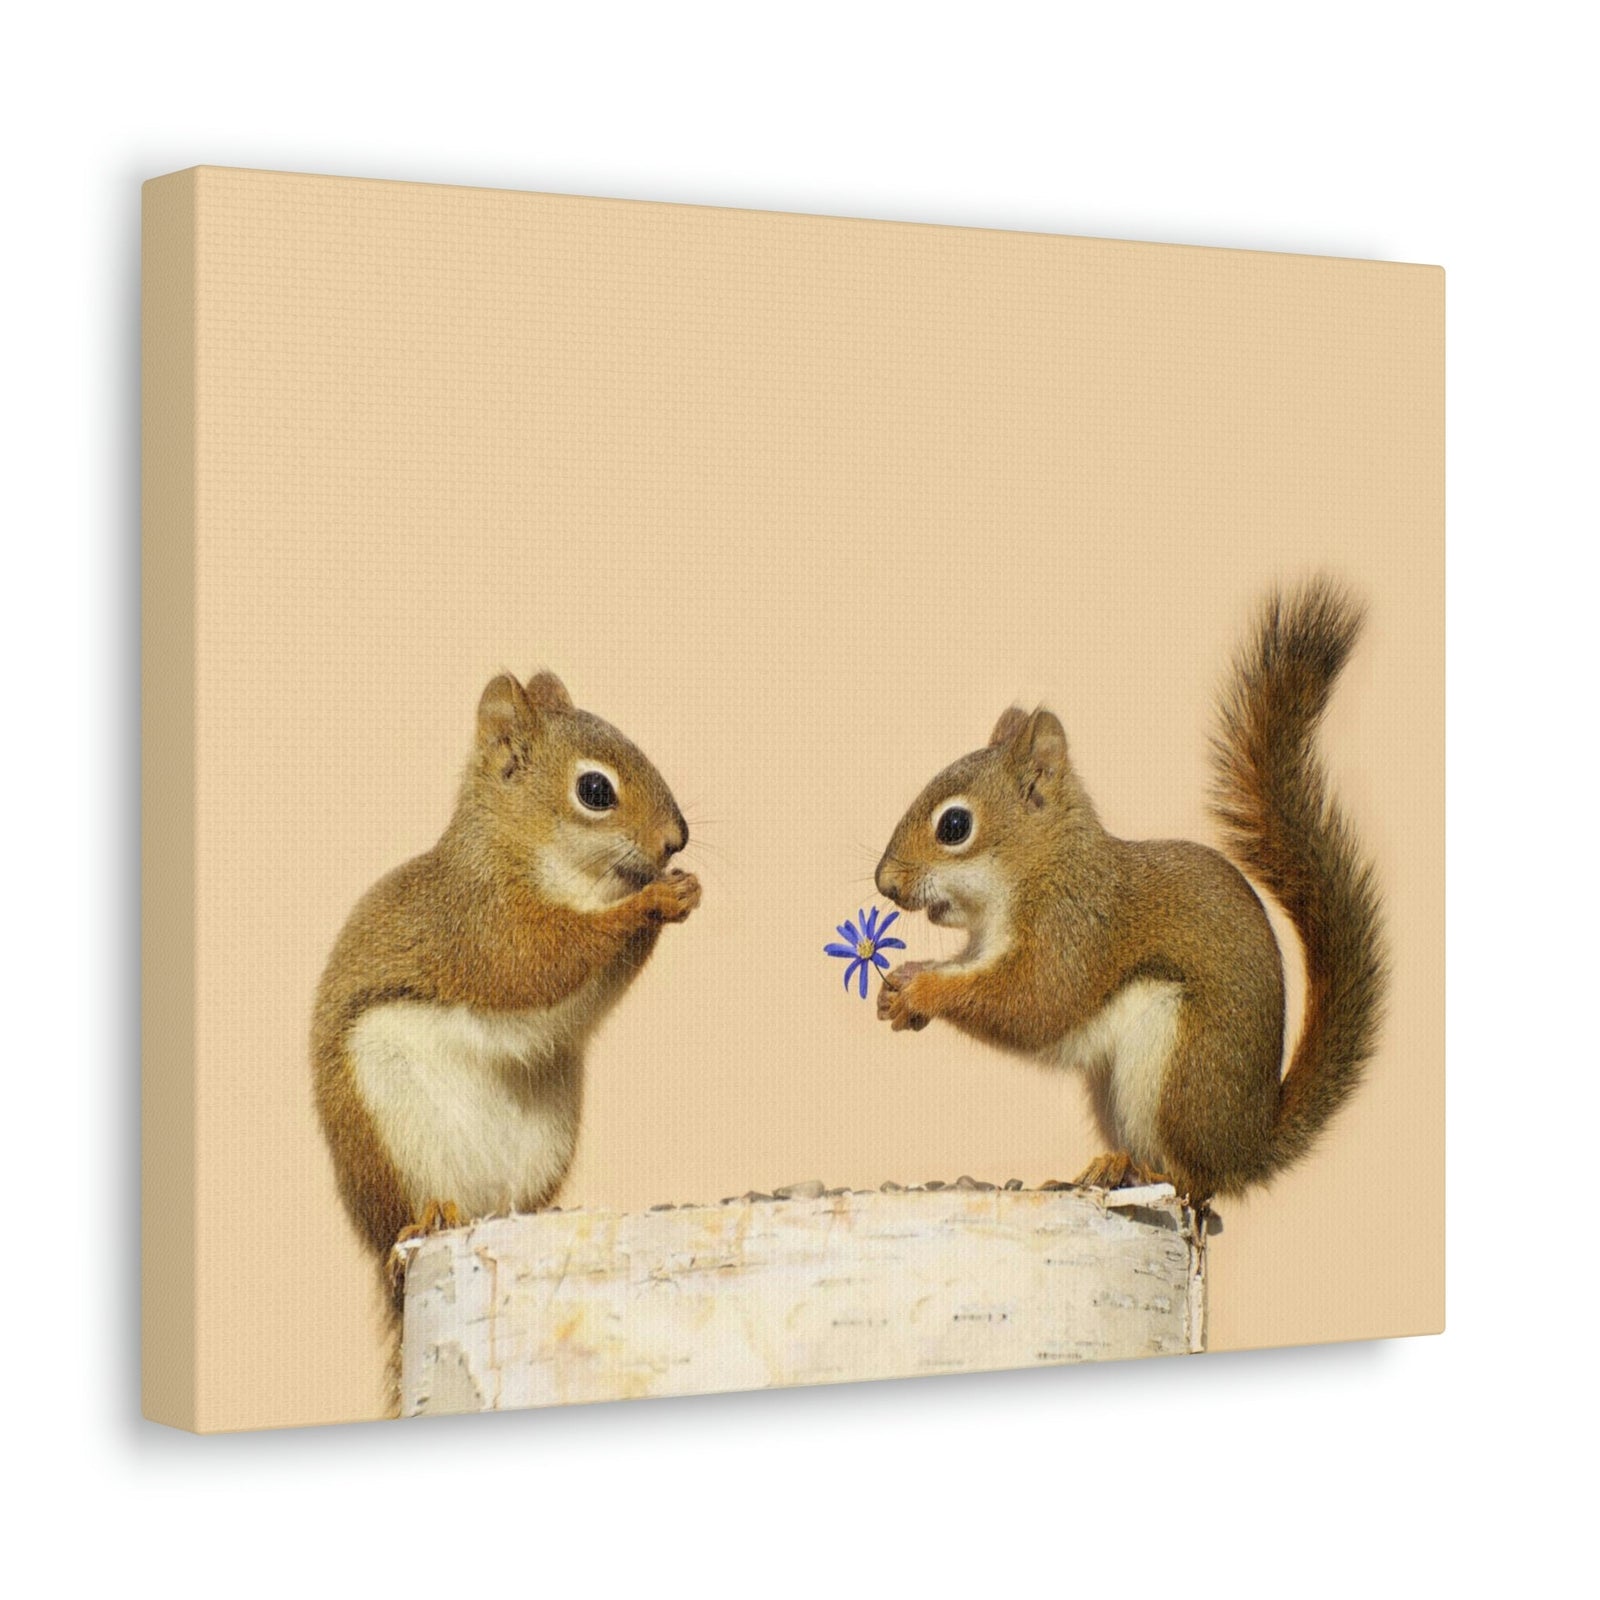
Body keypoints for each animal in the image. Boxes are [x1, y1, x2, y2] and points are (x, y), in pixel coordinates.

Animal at [312, 670, 699, 1320]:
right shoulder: (481, 923)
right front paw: (649, 900)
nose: (678, 839)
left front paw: (682, 889)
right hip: (389, 1126)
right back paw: (429, 1215)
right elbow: (539, 963)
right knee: (408, 1213)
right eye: (595, 790)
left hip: (547, 1139)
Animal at [873, 579, 1387, 1203]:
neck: (1040, 870)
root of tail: (1247, 1148)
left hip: (1175, 1069)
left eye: (954, 826)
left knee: (1194, 1181)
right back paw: (1104, 1168)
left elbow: (1033, 1001)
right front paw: (897, 988)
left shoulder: (1075, 930)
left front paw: (922, 992)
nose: (884, 883)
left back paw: (1141, 1172)